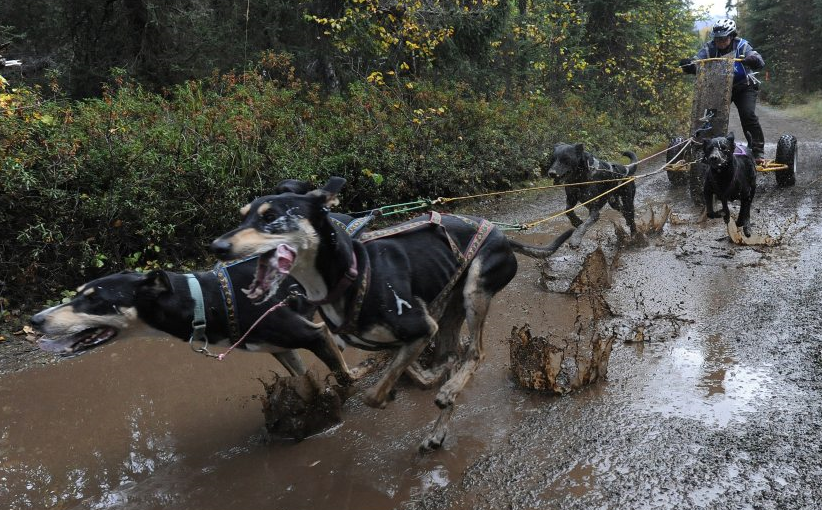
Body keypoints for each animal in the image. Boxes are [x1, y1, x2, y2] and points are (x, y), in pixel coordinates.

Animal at [212, 176, 572, 450]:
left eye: (270, 216)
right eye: (243, 216)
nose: (217, 247)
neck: (352, 274)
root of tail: (502, 234)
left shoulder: (420, 328)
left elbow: (375, 394)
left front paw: (408, 389)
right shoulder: (402, 339)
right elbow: (403, 374)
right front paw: (423, 380)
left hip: (474, 292)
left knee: (476, 353)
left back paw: (450, 390)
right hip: (450, 310)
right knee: (454, 354)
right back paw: (439, 425)